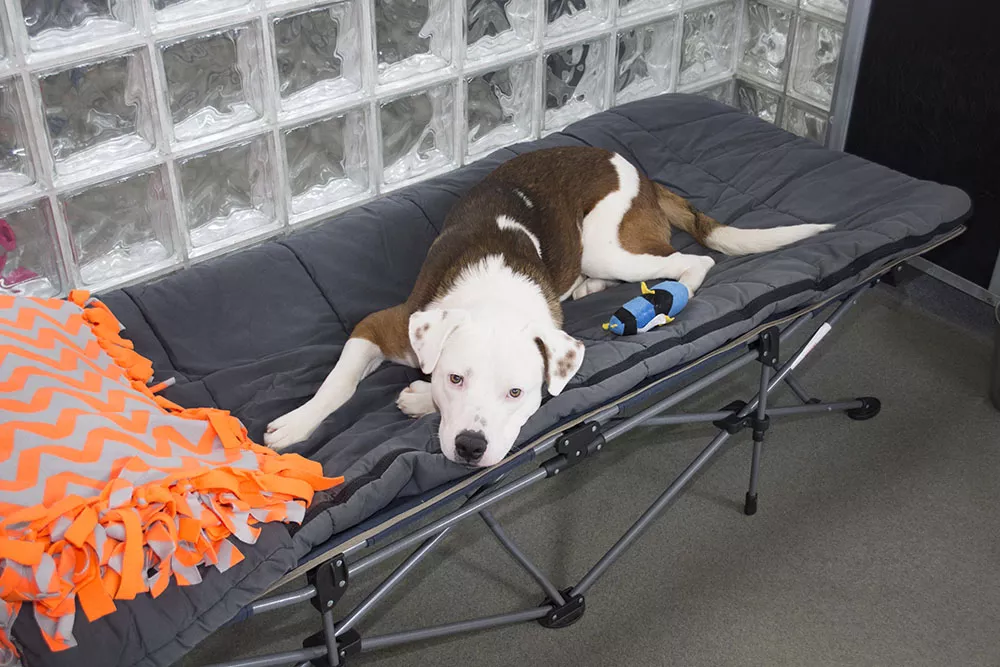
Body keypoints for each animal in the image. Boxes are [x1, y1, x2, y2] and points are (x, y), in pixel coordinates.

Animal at [264, 146, 832, 466]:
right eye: (456, 378)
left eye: (518, 393)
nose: (470, 448)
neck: (494, 294)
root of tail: (641, 174)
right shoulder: (383, 326)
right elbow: (338, 384)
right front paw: (296, 423)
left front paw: (418, 399)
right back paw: (587, 286)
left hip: (610, 243)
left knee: (693, 262)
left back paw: (662, 304)